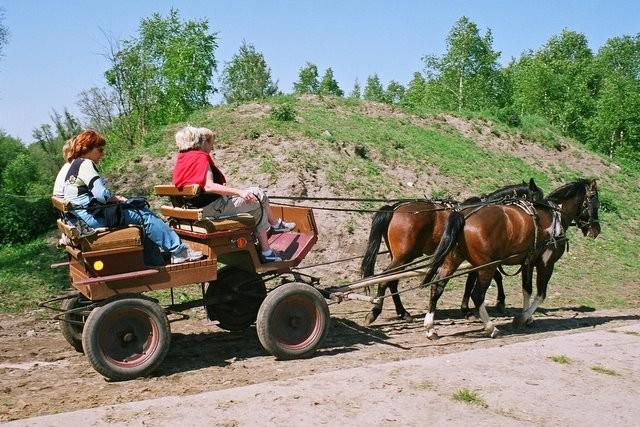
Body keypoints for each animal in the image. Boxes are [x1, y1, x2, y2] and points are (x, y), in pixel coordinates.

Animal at [362, 180, 544, 324]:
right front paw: (497, 303)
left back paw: (402, 313)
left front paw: (468, 309)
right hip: (404, 256)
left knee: (392, 281)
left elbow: (478, 280)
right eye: (538, 198)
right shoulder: (483, 258)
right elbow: (488, 278)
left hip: (401, 257)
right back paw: (375, 312)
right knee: (386, 279)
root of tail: (394, 208)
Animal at [422, 179, 596, 340]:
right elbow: (541, 294)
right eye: (595, 201)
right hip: (486, 267)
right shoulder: (546, 263)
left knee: (437, 286)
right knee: (477, 295)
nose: (596, 230)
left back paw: (431, 328)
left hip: (453, 259)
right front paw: (521, 317)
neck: (556, 216)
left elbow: (527, 289)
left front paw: (527, 318)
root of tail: (463, 215)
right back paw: (491, 328)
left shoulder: (528, 262)